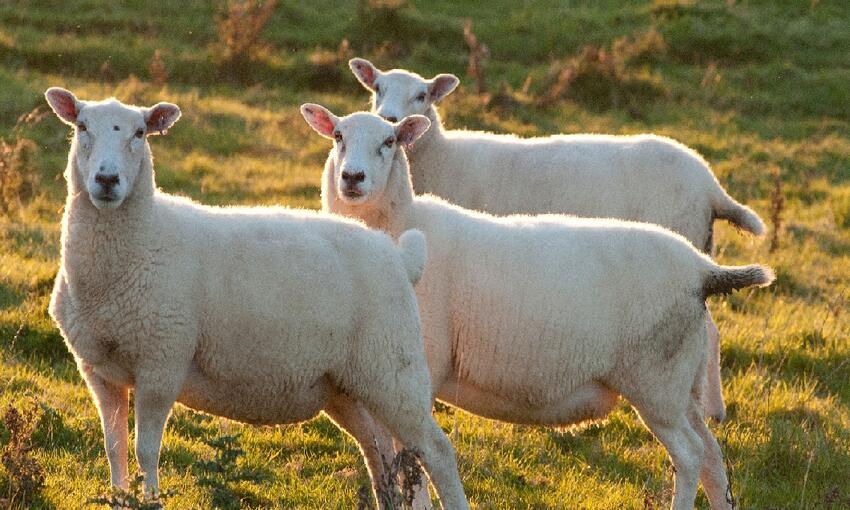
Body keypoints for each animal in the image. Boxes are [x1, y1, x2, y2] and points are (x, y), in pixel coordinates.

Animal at [43, 88, 469, 510]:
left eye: (139, 133)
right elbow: (113, 448)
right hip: (351, 385)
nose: (107, 179)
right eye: (82, 126)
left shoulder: (162, 362)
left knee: (436, 451)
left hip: (394, 367)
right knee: (380, 456)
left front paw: (148, 501)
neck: (141, 242)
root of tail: (398, 255)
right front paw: (120, 498)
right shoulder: (98, 371)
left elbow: (146, 450)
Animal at [301, 105, 774, 510]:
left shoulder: (412, 376)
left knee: (691, 454)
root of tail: (700, 270)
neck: (401, 225)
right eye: (339, 136)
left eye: (389, 141)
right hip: (682, 381)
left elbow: (410, 464)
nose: (353, 177)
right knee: (712, 454)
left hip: (656, 380)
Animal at [348, 58, 768, 422]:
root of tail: (710, 183)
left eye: (422, 95)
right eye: (377, 89)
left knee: (709, 333)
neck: (442, 156)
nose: (388, 118)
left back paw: (714, 409)